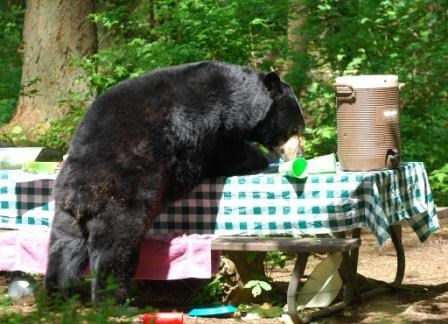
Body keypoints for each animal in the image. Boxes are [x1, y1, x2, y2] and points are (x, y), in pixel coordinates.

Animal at [44, 61, 304, 304]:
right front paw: (261, 158)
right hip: (120, 195)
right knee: (115, 246)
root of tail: (79, 195)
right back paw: (112, 299)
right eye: (295, 128)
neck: (240, 98)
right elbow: (226, 154)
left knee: (64, 246)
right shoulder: (212, 122)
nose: (298, 154)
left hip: (65, 209)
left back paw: (59, 293)